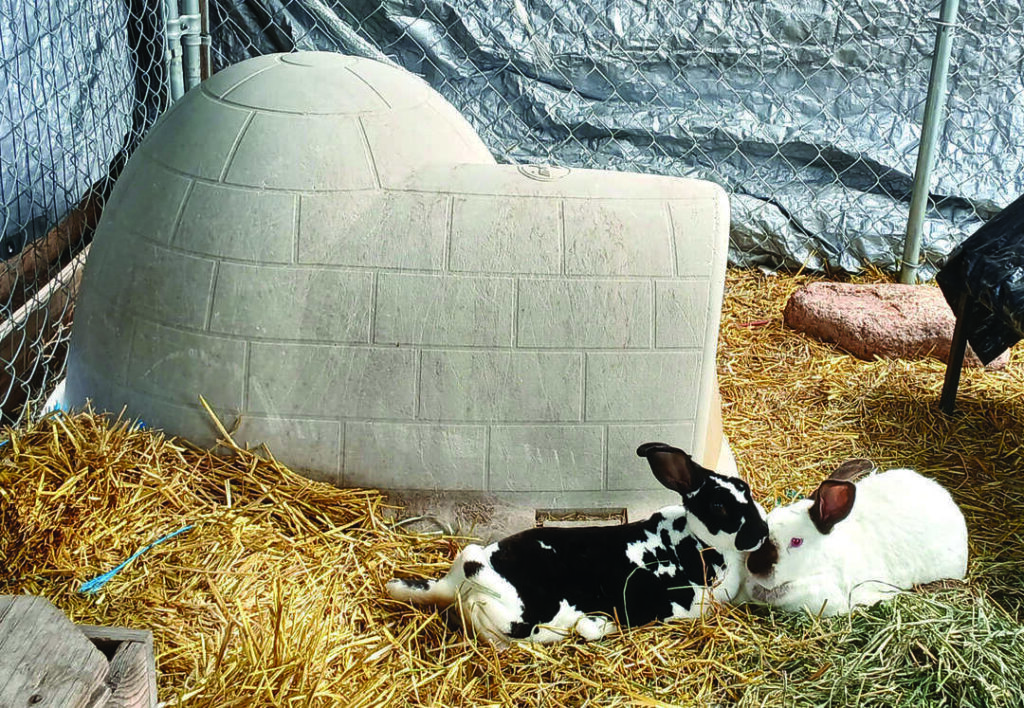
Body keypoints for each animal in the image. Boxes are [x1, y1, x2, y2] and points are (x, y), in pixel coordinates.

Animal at [386, 442, 769, 645]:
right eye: (719, 506)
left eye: (744, 487)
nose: (761, 532)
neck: (694, 540)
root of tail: (463, 581)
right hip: (531, 619)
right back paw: (595, 625)